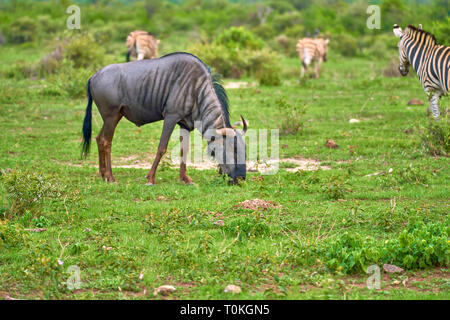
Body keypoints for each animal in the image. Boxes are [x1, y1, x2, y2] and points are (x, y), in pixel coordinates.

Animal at [82, 52, 248, 185]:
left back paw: (103, 174)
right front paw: (150, 178)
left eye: (244, 150)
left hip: (114, 117)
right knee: (106, 141)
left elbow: (184, 149)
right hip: (111, 116)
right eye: (233, 150)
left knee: (99, 138)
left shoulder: (185, 124)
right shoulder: (170, 117)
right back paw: (110, 177)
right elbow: (162, 147)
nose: (241, 179)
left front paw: (185, 179)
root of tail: (93, 77)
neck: (196, 89)